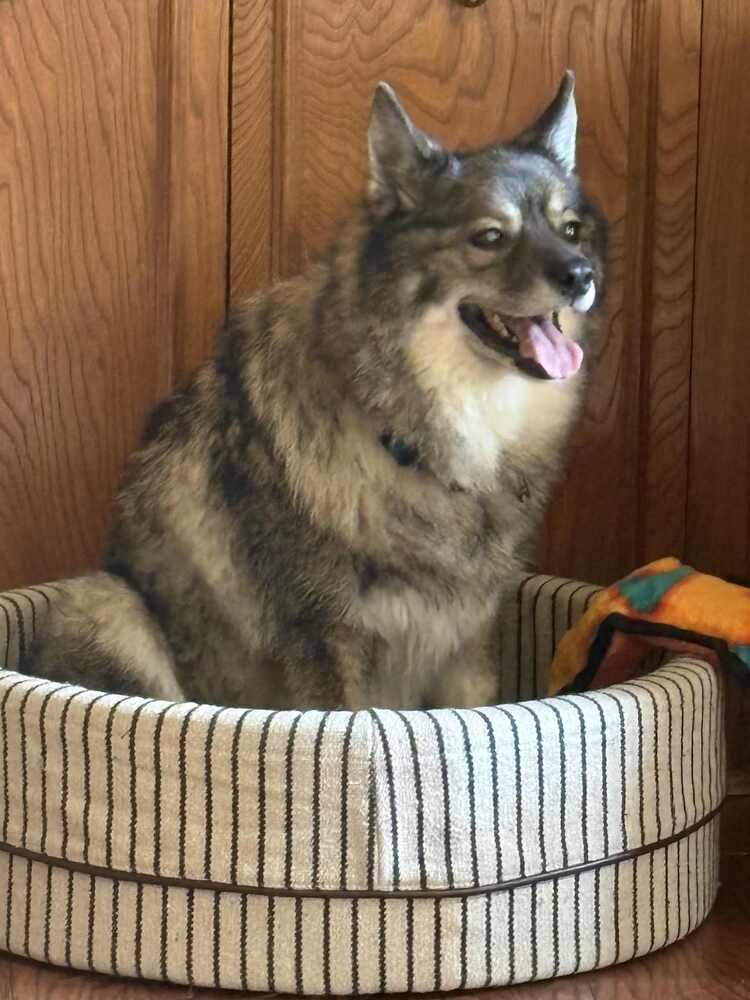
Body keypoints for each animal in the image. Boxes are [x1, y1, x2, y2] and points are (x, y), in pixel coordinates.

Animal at [27, 72, 607, 710]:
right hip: (103, 604)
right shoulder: (327, 642)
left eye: (570, 230)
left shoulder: (468, 649)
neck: (407, 437)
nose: (582, 276)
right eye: (490, 236)